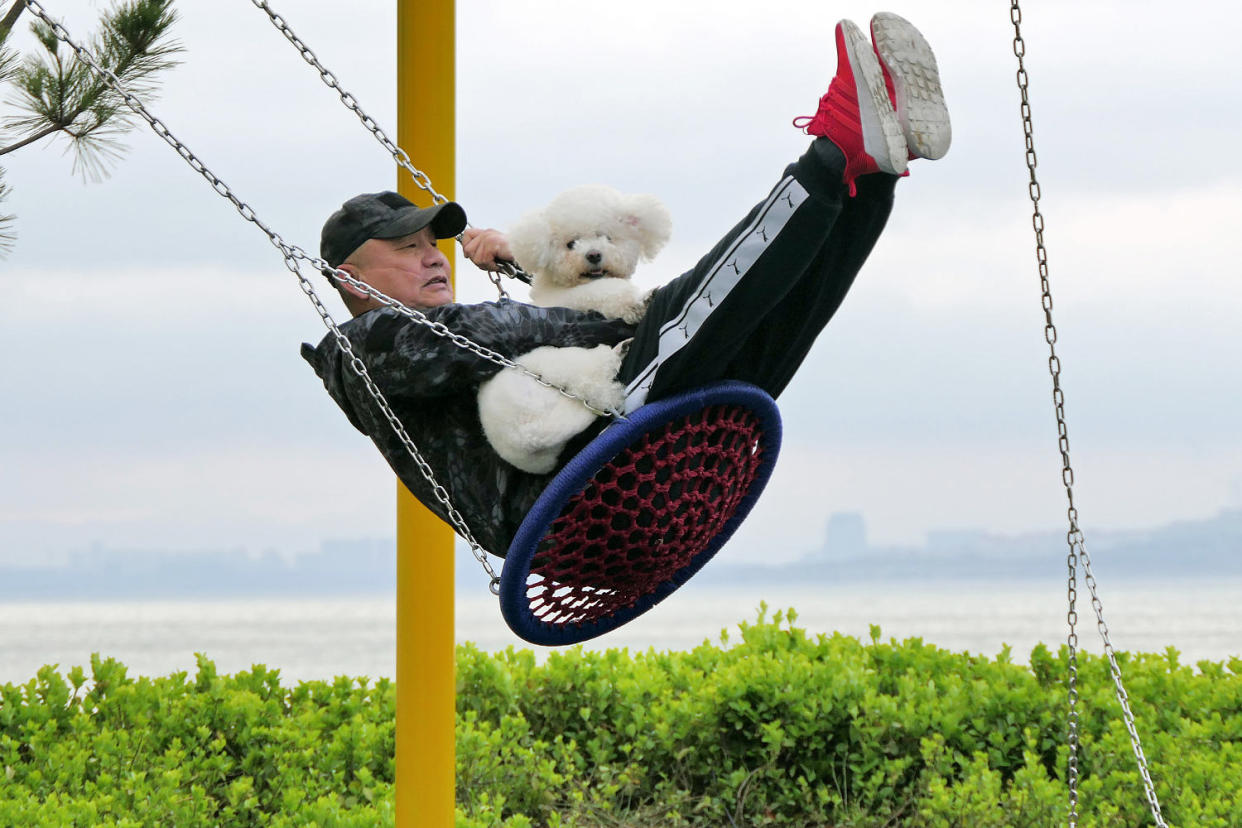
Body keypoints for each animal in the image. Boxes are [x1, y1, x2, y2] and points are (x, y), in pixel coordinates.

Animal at [474, 184, 670, 476]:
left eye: (607, 237)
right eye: (571, 244)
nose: (593, 255)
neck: (569, 283)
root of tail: (528, 438)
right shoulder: (577, 299)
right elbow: (608, 292)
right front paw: (641, 302)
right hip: (556, 367)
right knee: (593, 378)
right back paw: (617, 354)